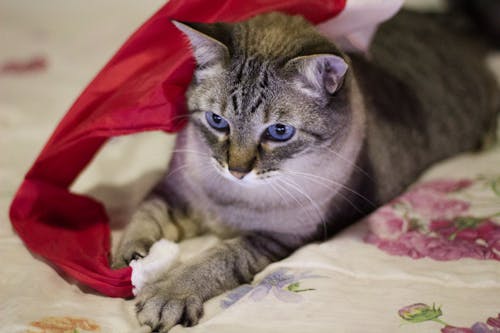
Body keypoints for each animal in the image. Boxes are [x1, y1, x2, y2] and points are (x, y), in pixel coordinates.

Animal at [113, 9, 500, 330]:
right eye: (217, 121)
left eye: (279, 132)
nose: (235, 170)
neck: (230, 198)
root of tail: (447, 21)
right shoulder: (174, 192)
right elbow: (144, 218)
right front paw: (128, 260)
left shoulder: (272, 238)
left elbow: (215, 259)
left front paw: (169, 292)